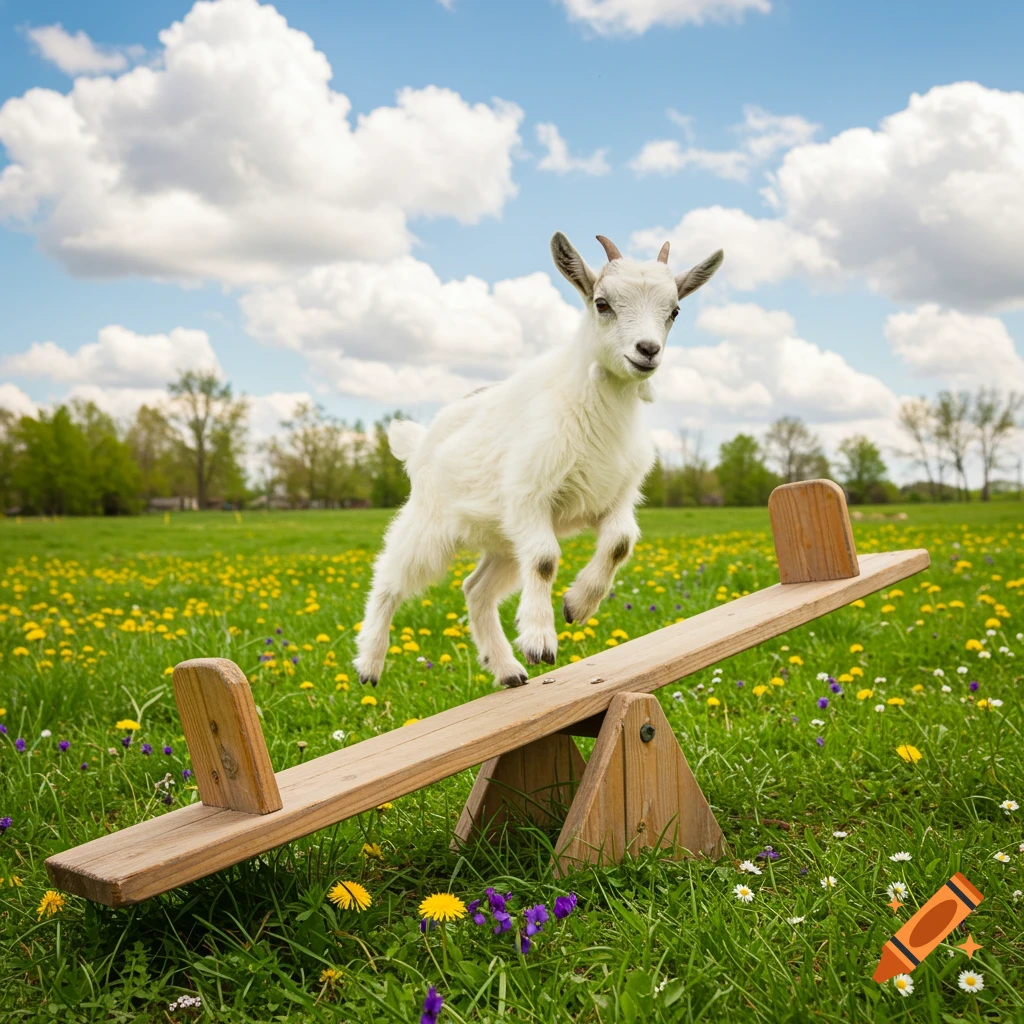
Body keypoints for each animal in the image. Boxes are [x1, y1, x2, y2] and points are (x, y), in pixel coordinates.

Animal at [353, 232, 724, 688]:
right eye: (602, 303)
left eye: (674, 310)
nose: (648, 350)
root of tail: (421, 440)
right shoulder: (530, 497)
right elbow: (547, 560)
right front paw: (540, 641)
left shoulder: (612, 499)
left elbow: (619, 542)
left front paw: (577, 606)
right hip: (430, 523)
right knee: (389, 578)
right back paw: (369, 663)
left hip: (503, 542)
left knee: (475, 588)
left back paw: (507, 669)